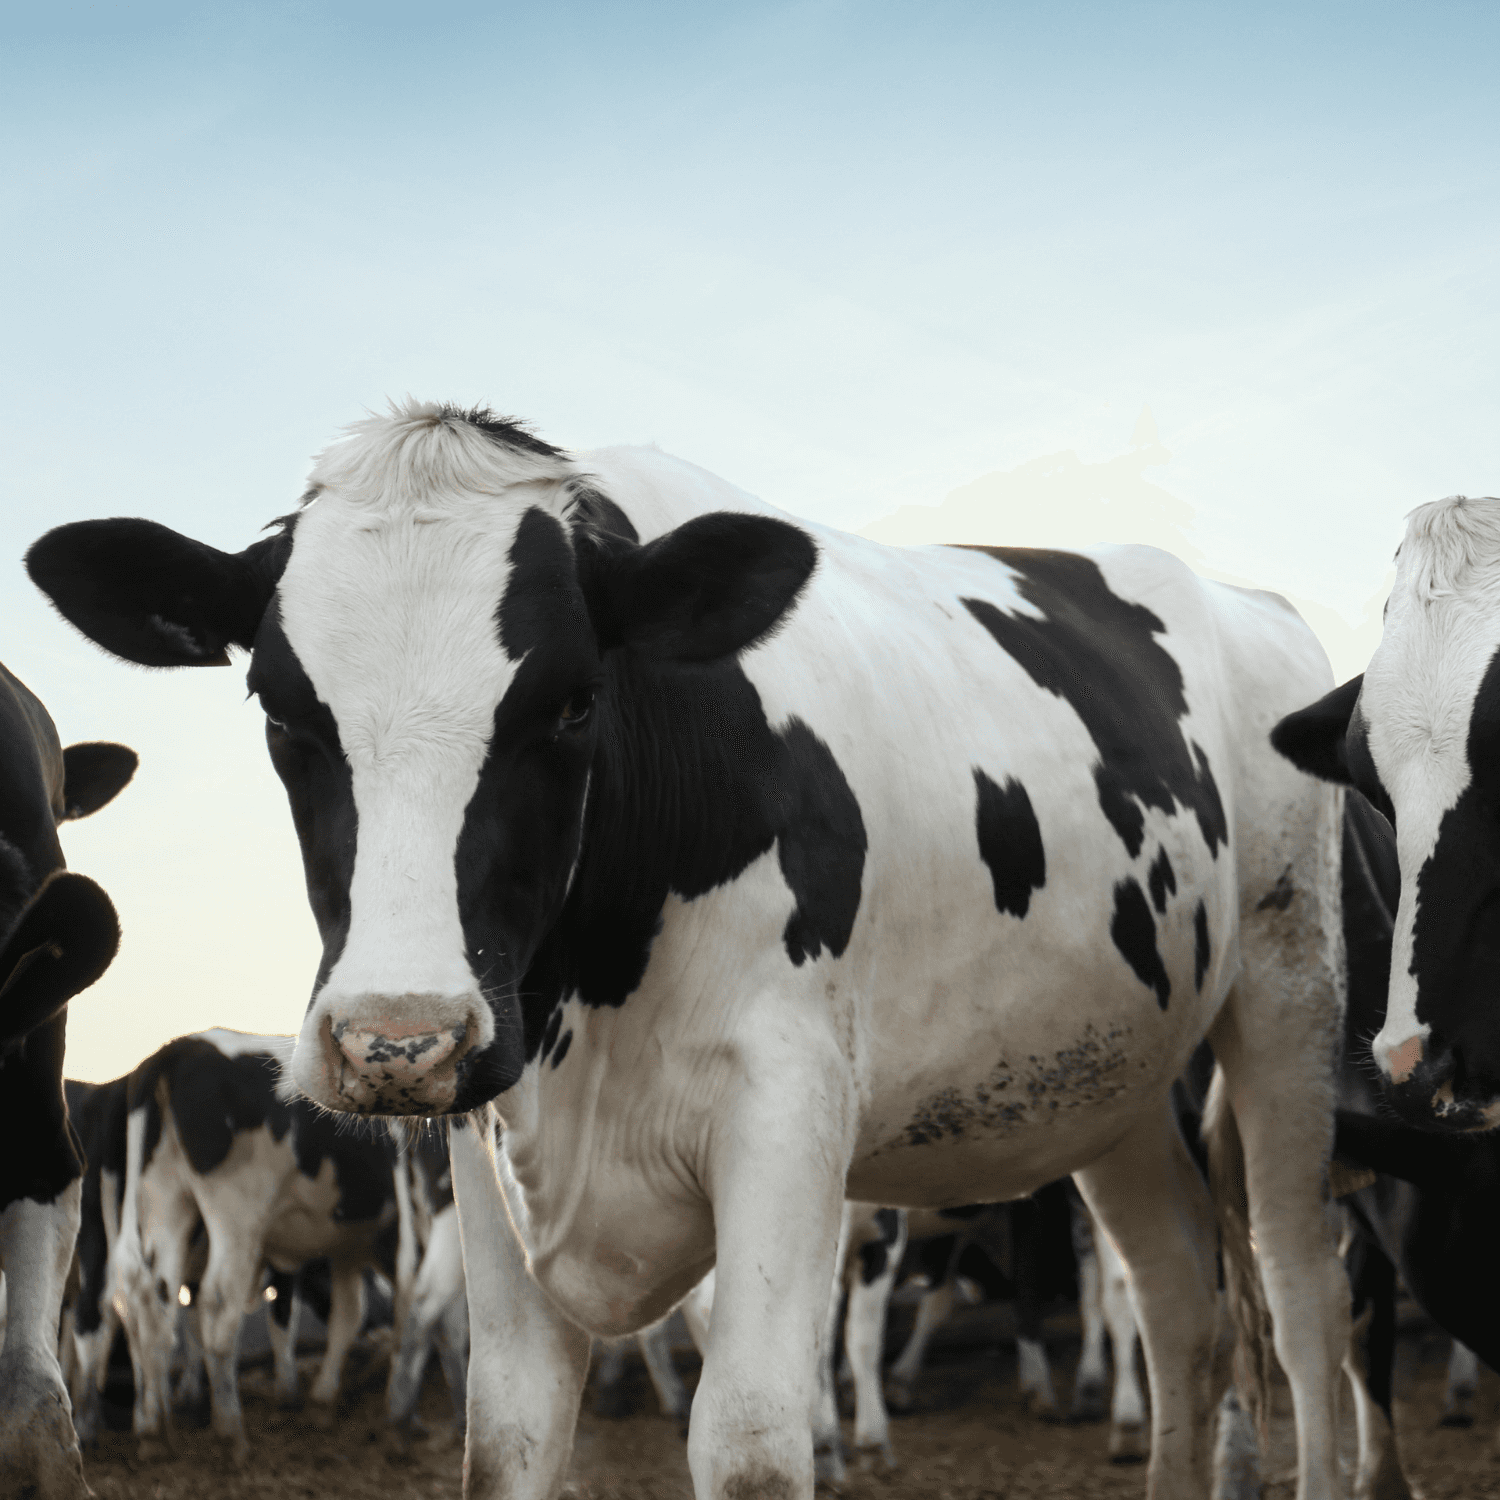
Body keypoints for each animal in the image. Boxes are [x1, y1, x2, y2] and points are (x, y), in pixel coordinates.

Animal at [30, 400, 1358, 1500]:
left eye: (573, 700)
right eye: (279, 707)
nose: (396, 1040)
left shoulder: (787, 1111)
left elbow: (755, 1441)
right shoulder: (489, 1146)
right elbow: (507, 1441)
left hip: (1290, 1005)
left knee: (1301, 1303)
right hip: (1116, 1082)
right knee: (1181, 1306)